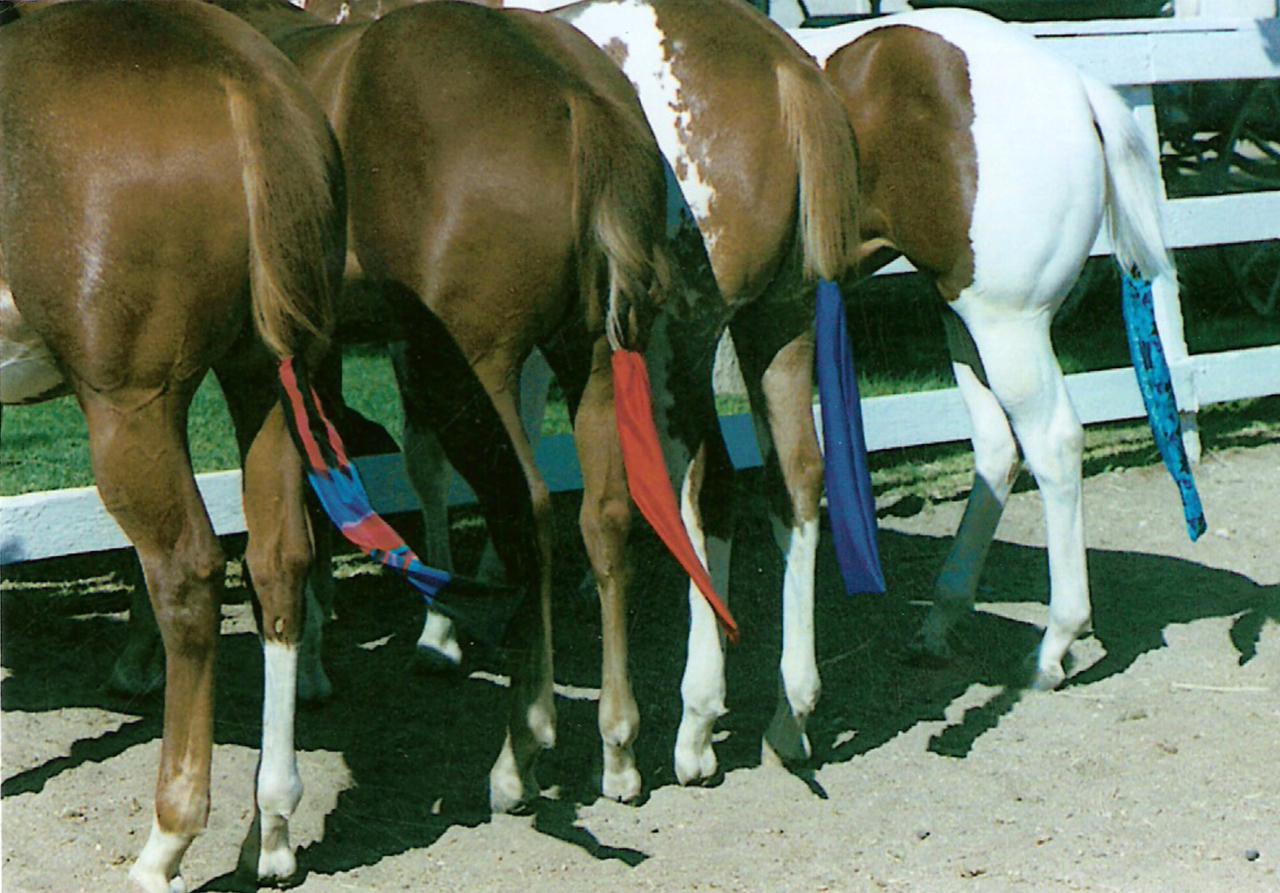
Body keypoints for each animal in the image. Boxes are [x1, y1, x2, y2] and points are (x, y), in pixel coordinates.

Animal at [0, 2, 346, 889]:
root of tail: (237, 75)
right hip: (268, 381)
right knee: (279, 560)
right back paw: (274, 826)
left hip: (134, 411)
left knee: (188, 573)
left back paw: (168, 839)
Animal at [212, 0, 684, 810]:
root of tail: (577, 96)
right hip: (591, 356)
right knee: (606, 514)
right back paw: (618, 747)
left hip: (476, 376)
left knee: (528, 509)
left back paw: (519, 751)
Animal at [790, 7, 1200, 691]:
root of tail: (1075, 86)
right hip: (965, 320)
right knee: (997, 447)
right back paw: (941, 621)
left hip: (1006, 324)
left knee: (1051, 442)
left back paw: (1052, 645)